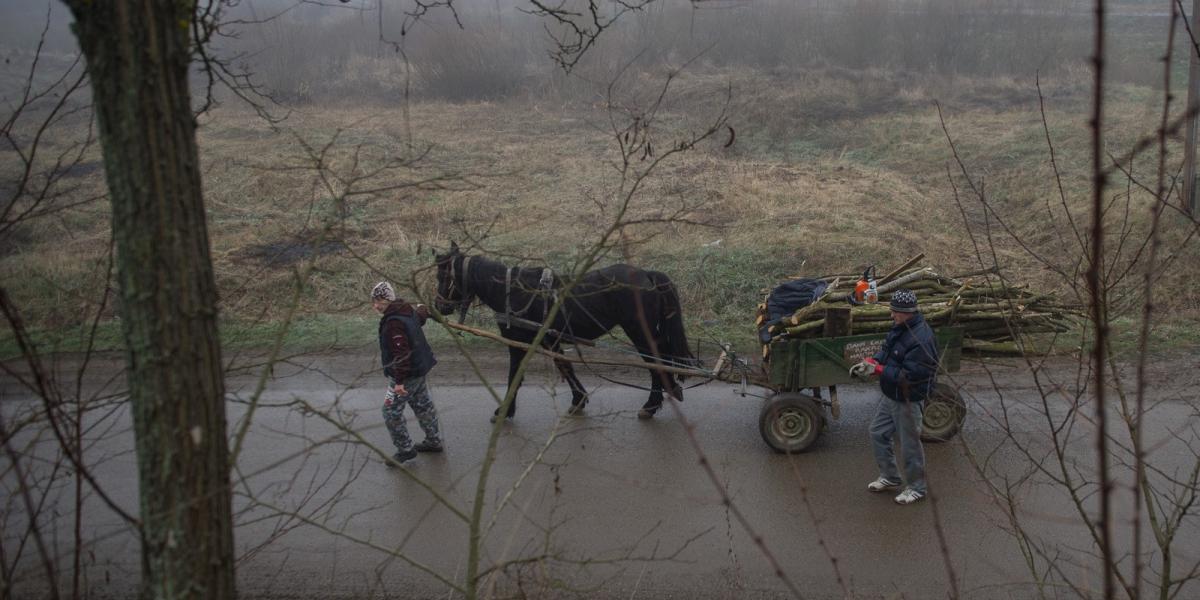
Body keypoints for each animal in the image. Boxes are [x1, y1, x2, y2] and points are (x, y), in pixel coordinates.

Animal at [434, 241, 700, 420]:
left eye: (442, 276)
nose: (439, 306)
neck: (512, 292)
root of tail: (646, 274)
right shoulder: (548, 339)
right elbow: (565, 365)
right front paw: (578, 399)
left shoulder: (519, 342)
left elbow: (515, 375)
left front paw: (504, 410)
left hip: (639, 332)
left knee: (655, 362)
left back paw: (651, 404)